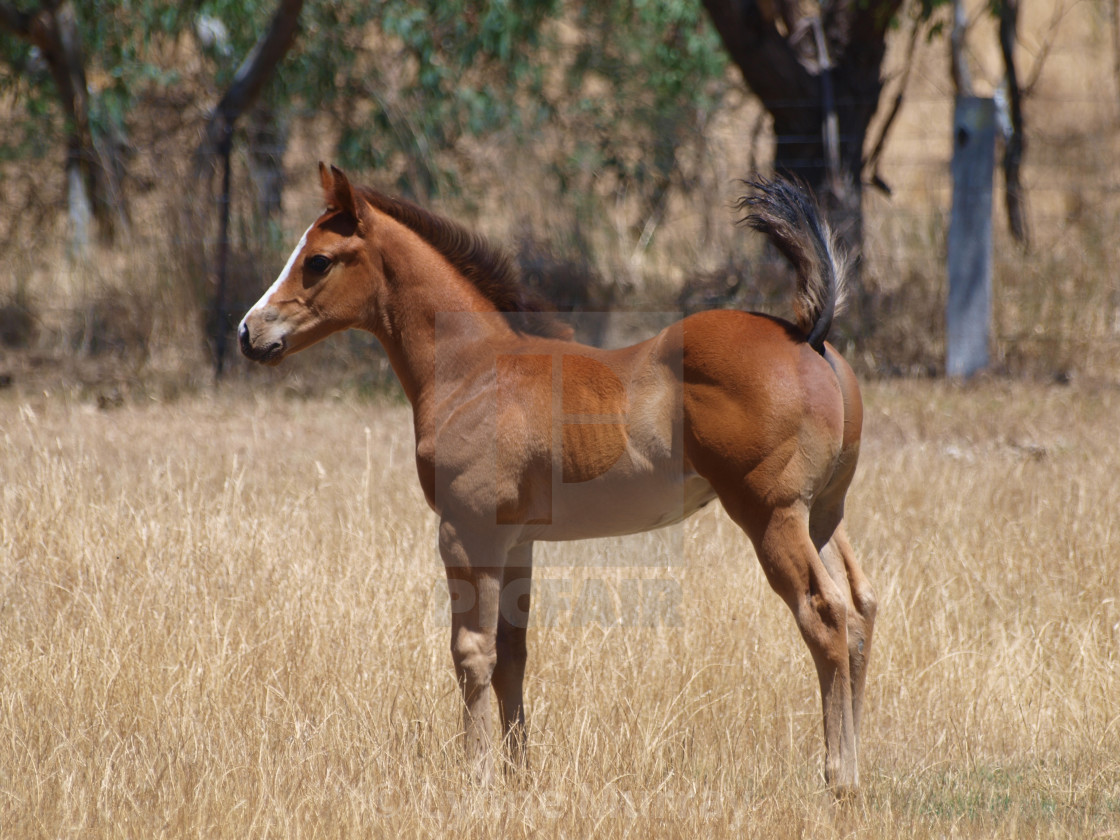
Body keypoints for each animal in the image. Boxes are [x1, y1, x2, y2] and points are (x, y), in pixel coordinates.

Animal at [240, 165, 878, 797]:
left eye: (318, 260)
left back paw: (839, 777)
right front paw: (518, 773)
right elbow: (512, 654)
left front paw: (477, 778)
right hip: (825, 514)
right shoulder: (516, 542)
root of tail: (809, 335)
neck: (471, 368)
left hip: (771, 515)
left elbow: (472, 652)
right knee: (859, 611)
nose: (249, 332)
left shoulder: (466, 532)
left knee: (824, 615)